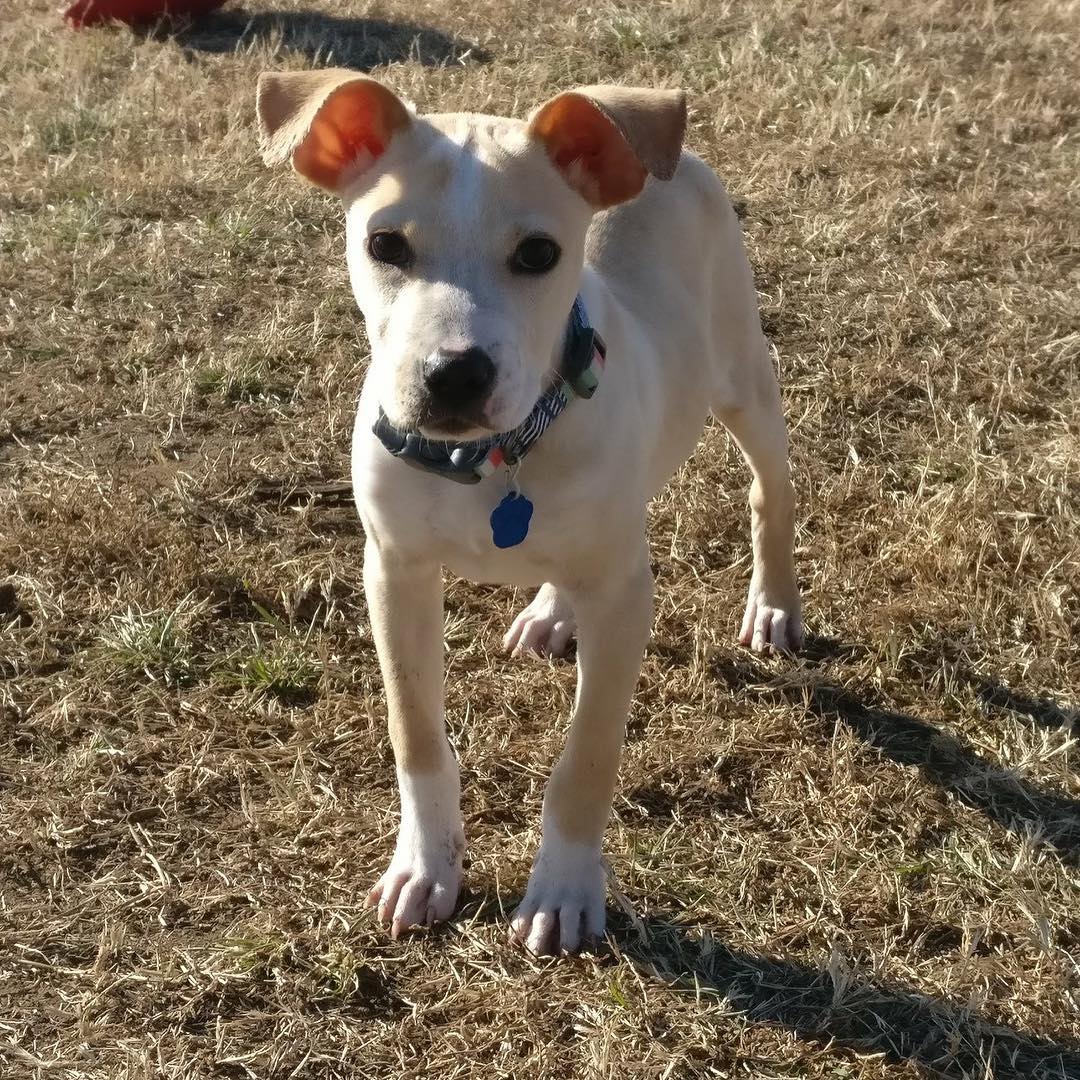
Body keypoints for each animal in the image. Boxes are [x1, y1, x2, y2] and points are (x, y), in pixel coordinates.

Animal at [259, 71, 803, 959]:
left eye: (540, 255)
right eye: (386, 244)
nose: (454, 375)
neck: (489, 458)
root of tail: (669, 159)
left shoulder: (624, 597)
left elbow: (586, 760)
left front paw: (565, 891)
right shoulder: (395, 571)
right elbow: (416, 736)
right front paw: (425, 868)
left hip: (743, 379)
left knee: (771, 493)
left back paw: (775, 605)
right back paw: (550, 612)